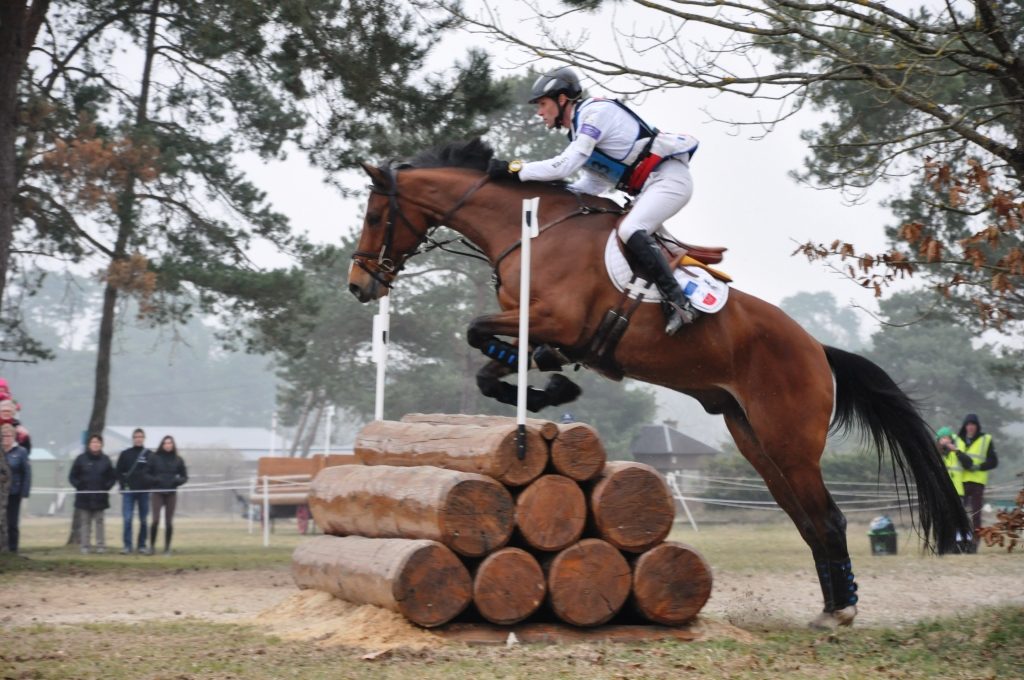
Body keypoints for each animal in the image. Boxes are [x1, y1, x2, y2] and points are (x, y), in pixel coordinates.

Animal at [348, 137, 970, 626]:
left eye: (376, 217)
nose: (359, 286)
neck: (531, 231)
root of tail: (818, 349)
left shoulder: (555, 319)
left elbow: (479, 332)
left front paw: (552, 389)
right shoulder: (529, 324)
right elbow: (489, 363)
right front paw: (551, 392)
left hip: (789, 442)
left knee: (830, 518)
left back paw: (842, 610)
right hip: (753, 441)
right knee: (808, 521)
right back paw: (830, 605)